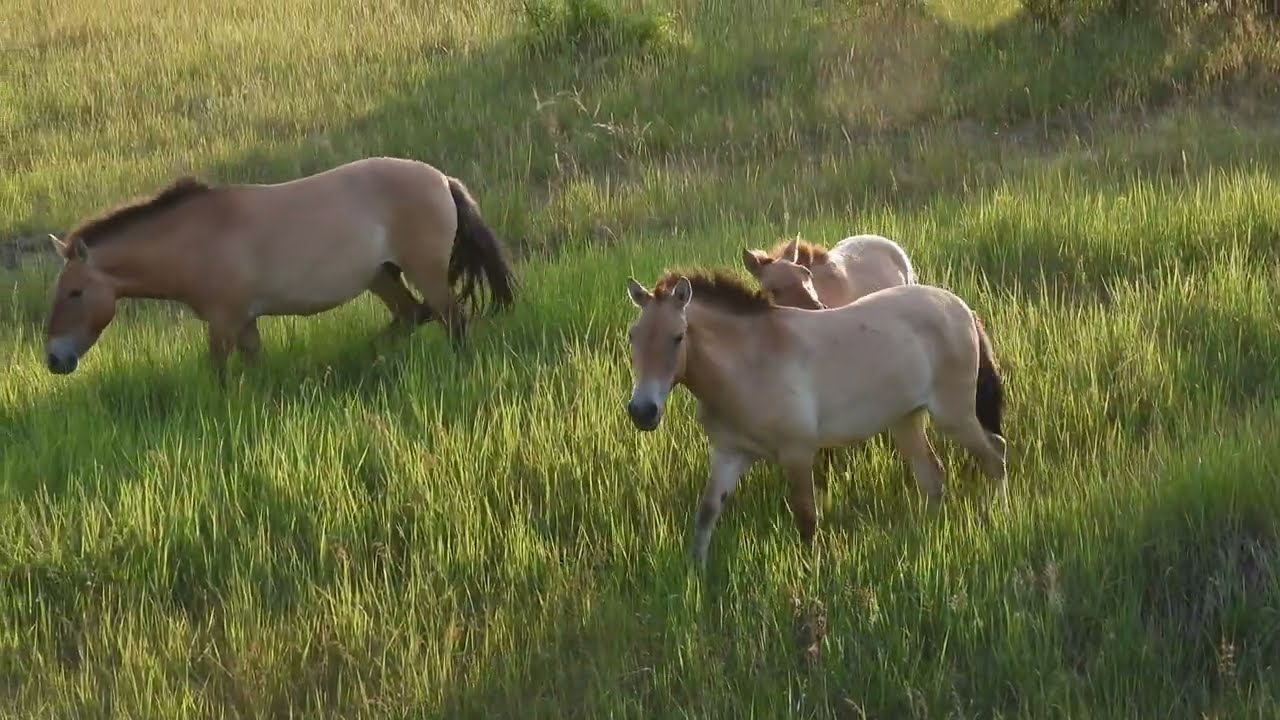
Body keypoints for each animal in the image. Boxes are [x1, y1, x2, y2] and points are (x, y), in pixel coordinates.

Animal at [42, 156, 517, 381]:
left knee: (451, 318)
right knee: (412, 315)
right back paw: (366, 356)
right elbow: (255, 365)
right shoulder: (245, 321)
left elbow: (217, 372)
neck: (196, 238)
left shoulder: (224, 322)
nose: (53, 359)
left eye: (74, 292)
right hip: (382, 275)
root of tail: (443, 180)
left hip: (425, 273)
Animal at [623, 268, 1007, 570]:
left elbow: (807, 520)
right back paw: (926, 535)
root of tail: (960, 308)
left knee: (995, 455)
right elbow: (706, 514)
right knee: (933, 477)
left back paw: (993, 518)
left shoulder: (797, 453)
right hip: (906, 420)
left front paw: (814, 576)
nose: (642, 411)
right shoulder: (729, 454)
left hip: (953, 415)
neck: (752, 361)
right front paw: (697, 577)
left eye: (677, 337)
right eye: (633, 336)